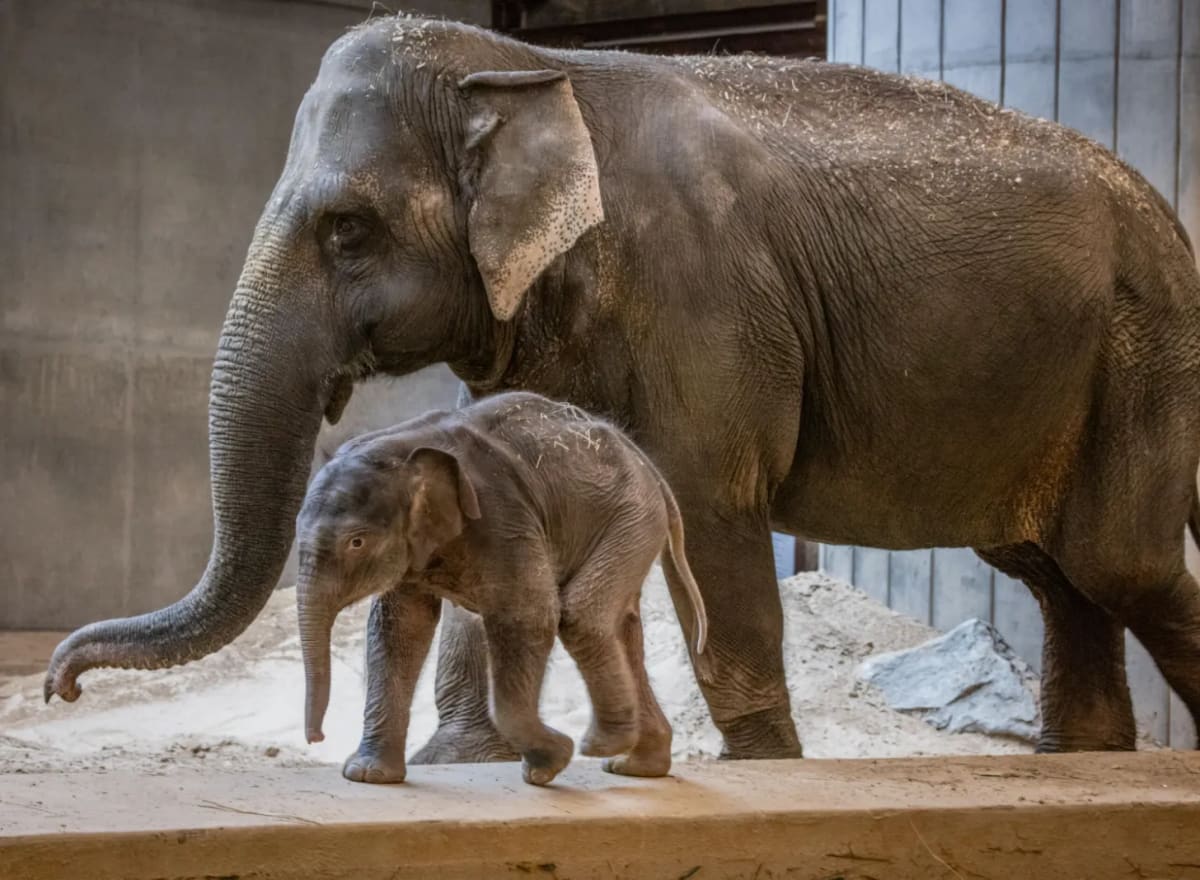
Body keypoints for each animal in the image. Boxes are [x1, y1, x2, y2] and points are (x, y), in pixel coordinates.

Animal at [295, 391, 708, 785]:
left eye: (356, 542)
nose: (316, 738)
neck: (404, 444)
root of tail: (648, 465)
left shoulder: (502, 516)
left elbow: (527, 615)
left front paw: (552, 761)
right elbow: (399, 629)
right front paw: (368, 776)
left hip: (632, 517)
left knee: (582, 617)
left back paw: (601, 746)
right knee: (621, 628)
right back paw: (635, 765)